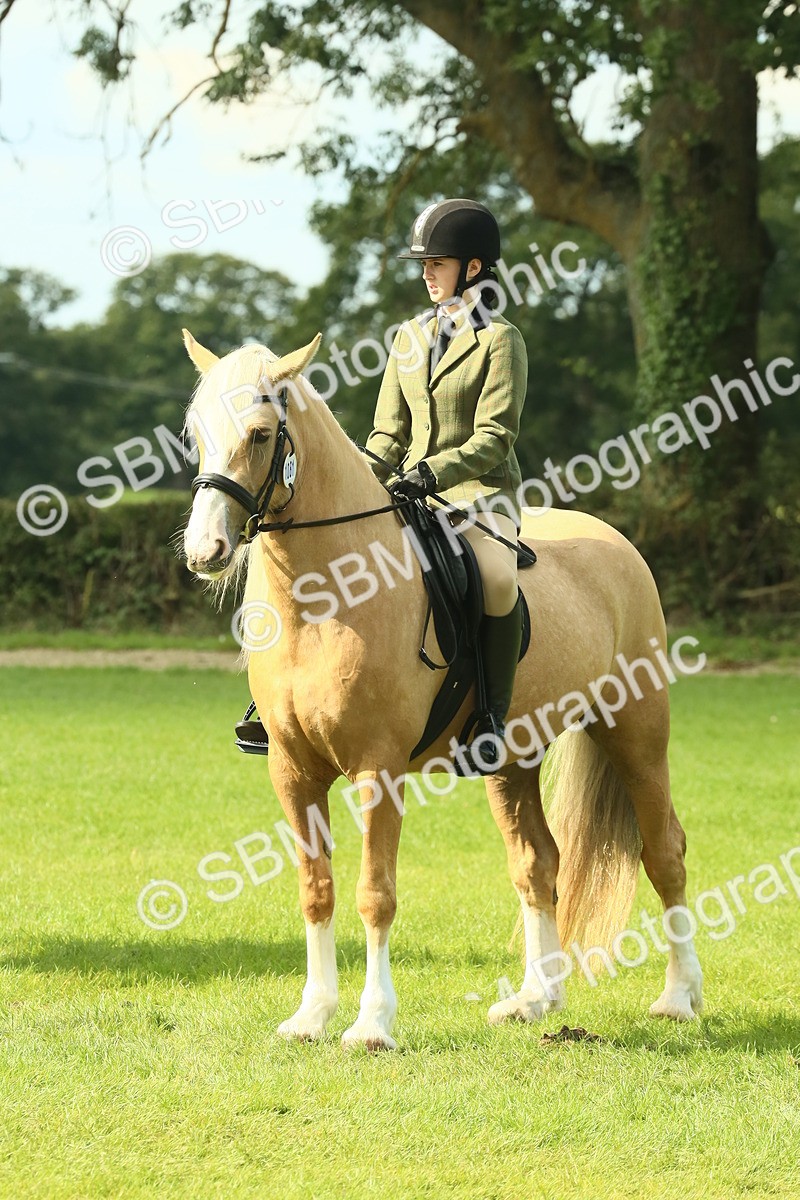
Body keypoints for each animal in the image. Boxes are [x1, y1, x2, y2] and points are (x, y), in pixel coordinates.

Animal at [181, 327, 703, 1050]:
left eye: (260, 434)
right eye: (195, 433)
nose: (205, 550)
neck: (326, 598)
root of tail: (617, 543)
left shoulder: (378, 769)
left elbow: (375, 892)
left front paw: (372, 1024)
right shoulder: (293, 770)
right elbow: (317, 889)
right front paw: (311, 1015)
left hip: (636, 734)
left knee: (664, 852)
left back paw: (679, 997)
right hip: (512, 758)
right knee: (538, 862)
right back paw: (535, 1001)